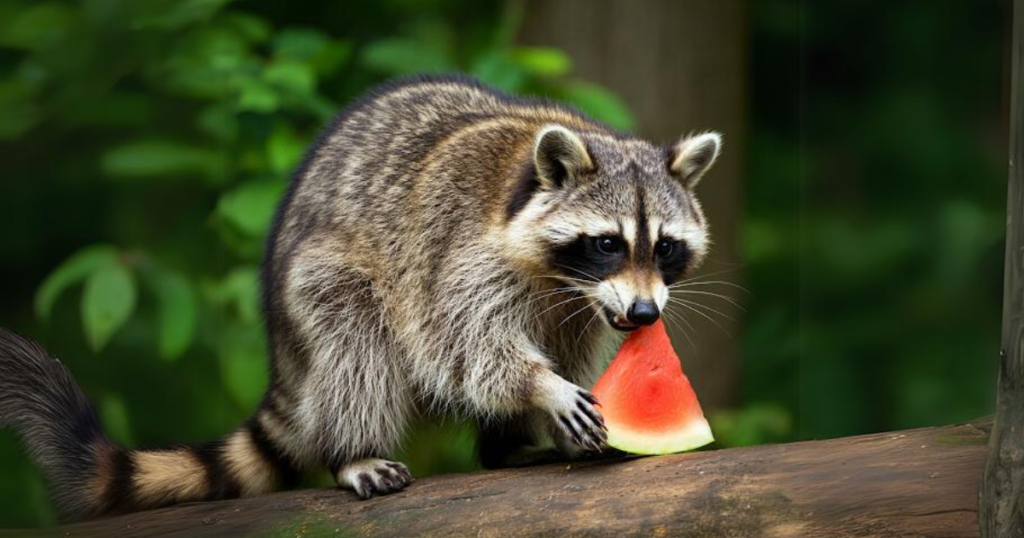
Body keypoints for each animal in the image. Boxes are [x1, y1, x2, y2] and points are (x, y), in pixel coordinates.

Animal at [0, 73, 720, 518]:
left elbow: (568, 343)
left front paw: (549, 405)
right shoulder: (457, 255)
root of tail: (284, 356)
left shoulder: (578, 303)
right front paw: (542, 390)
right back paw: (354, 449)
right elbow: (467, 347)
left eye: (665, 248)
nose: (645, 314)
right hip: (316, 282)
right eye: (607, 243)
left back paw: (507, 444)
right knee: (354, 339)